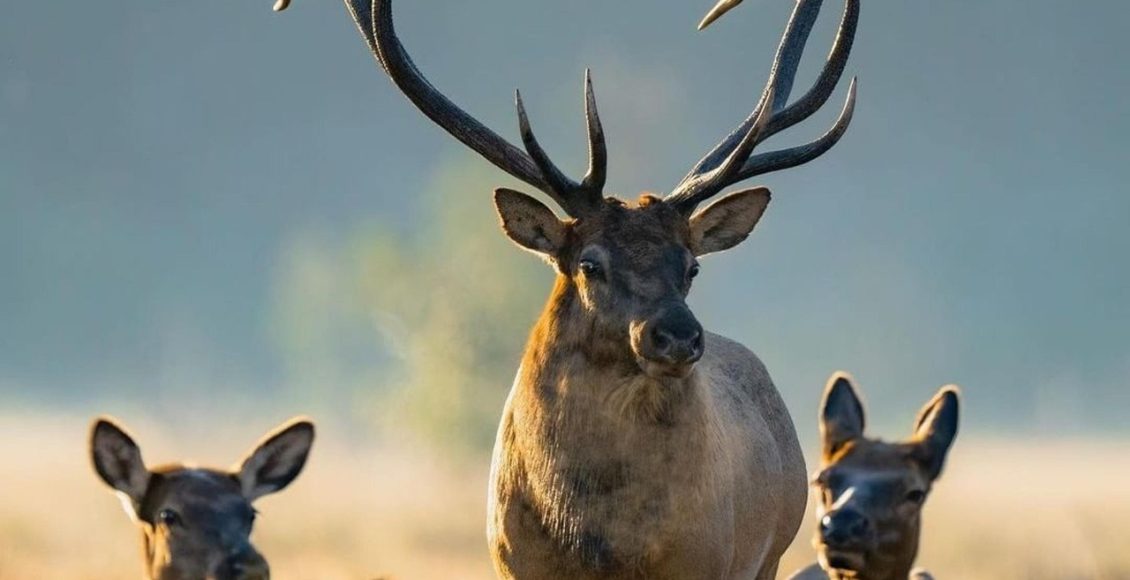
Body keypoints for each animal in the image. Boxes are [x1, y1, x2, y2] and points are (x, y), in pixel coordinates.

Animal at [340, 0, 858, 576]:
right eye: (590, 263)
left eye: (691, 267)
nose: (678, 336)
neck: (594, 540)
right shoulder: (510, 560)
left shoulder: (705, 561)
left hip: (770, 552)